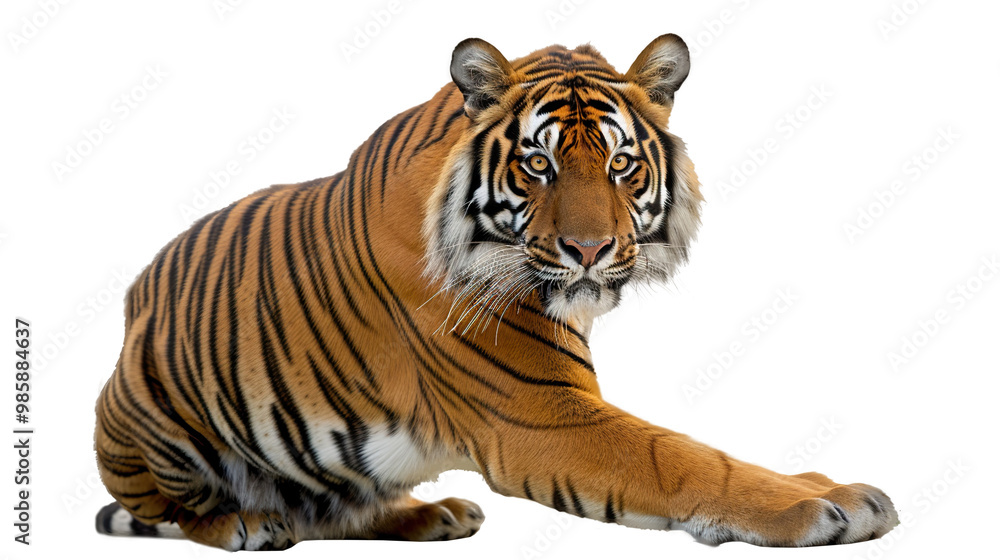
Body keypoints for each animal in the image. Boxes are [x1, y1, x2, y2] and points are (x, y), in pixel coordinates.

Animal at [93, 34, 898, 550]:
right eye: (539, 164)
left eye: (622, 164)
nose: (588, 250)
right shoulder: (539, 414)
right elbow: (679, 457)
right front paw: (823, 504)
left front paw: (819, 482)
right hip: (145, 415)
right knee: (181, 507)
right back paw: (246, 524)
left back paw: (432, 514)